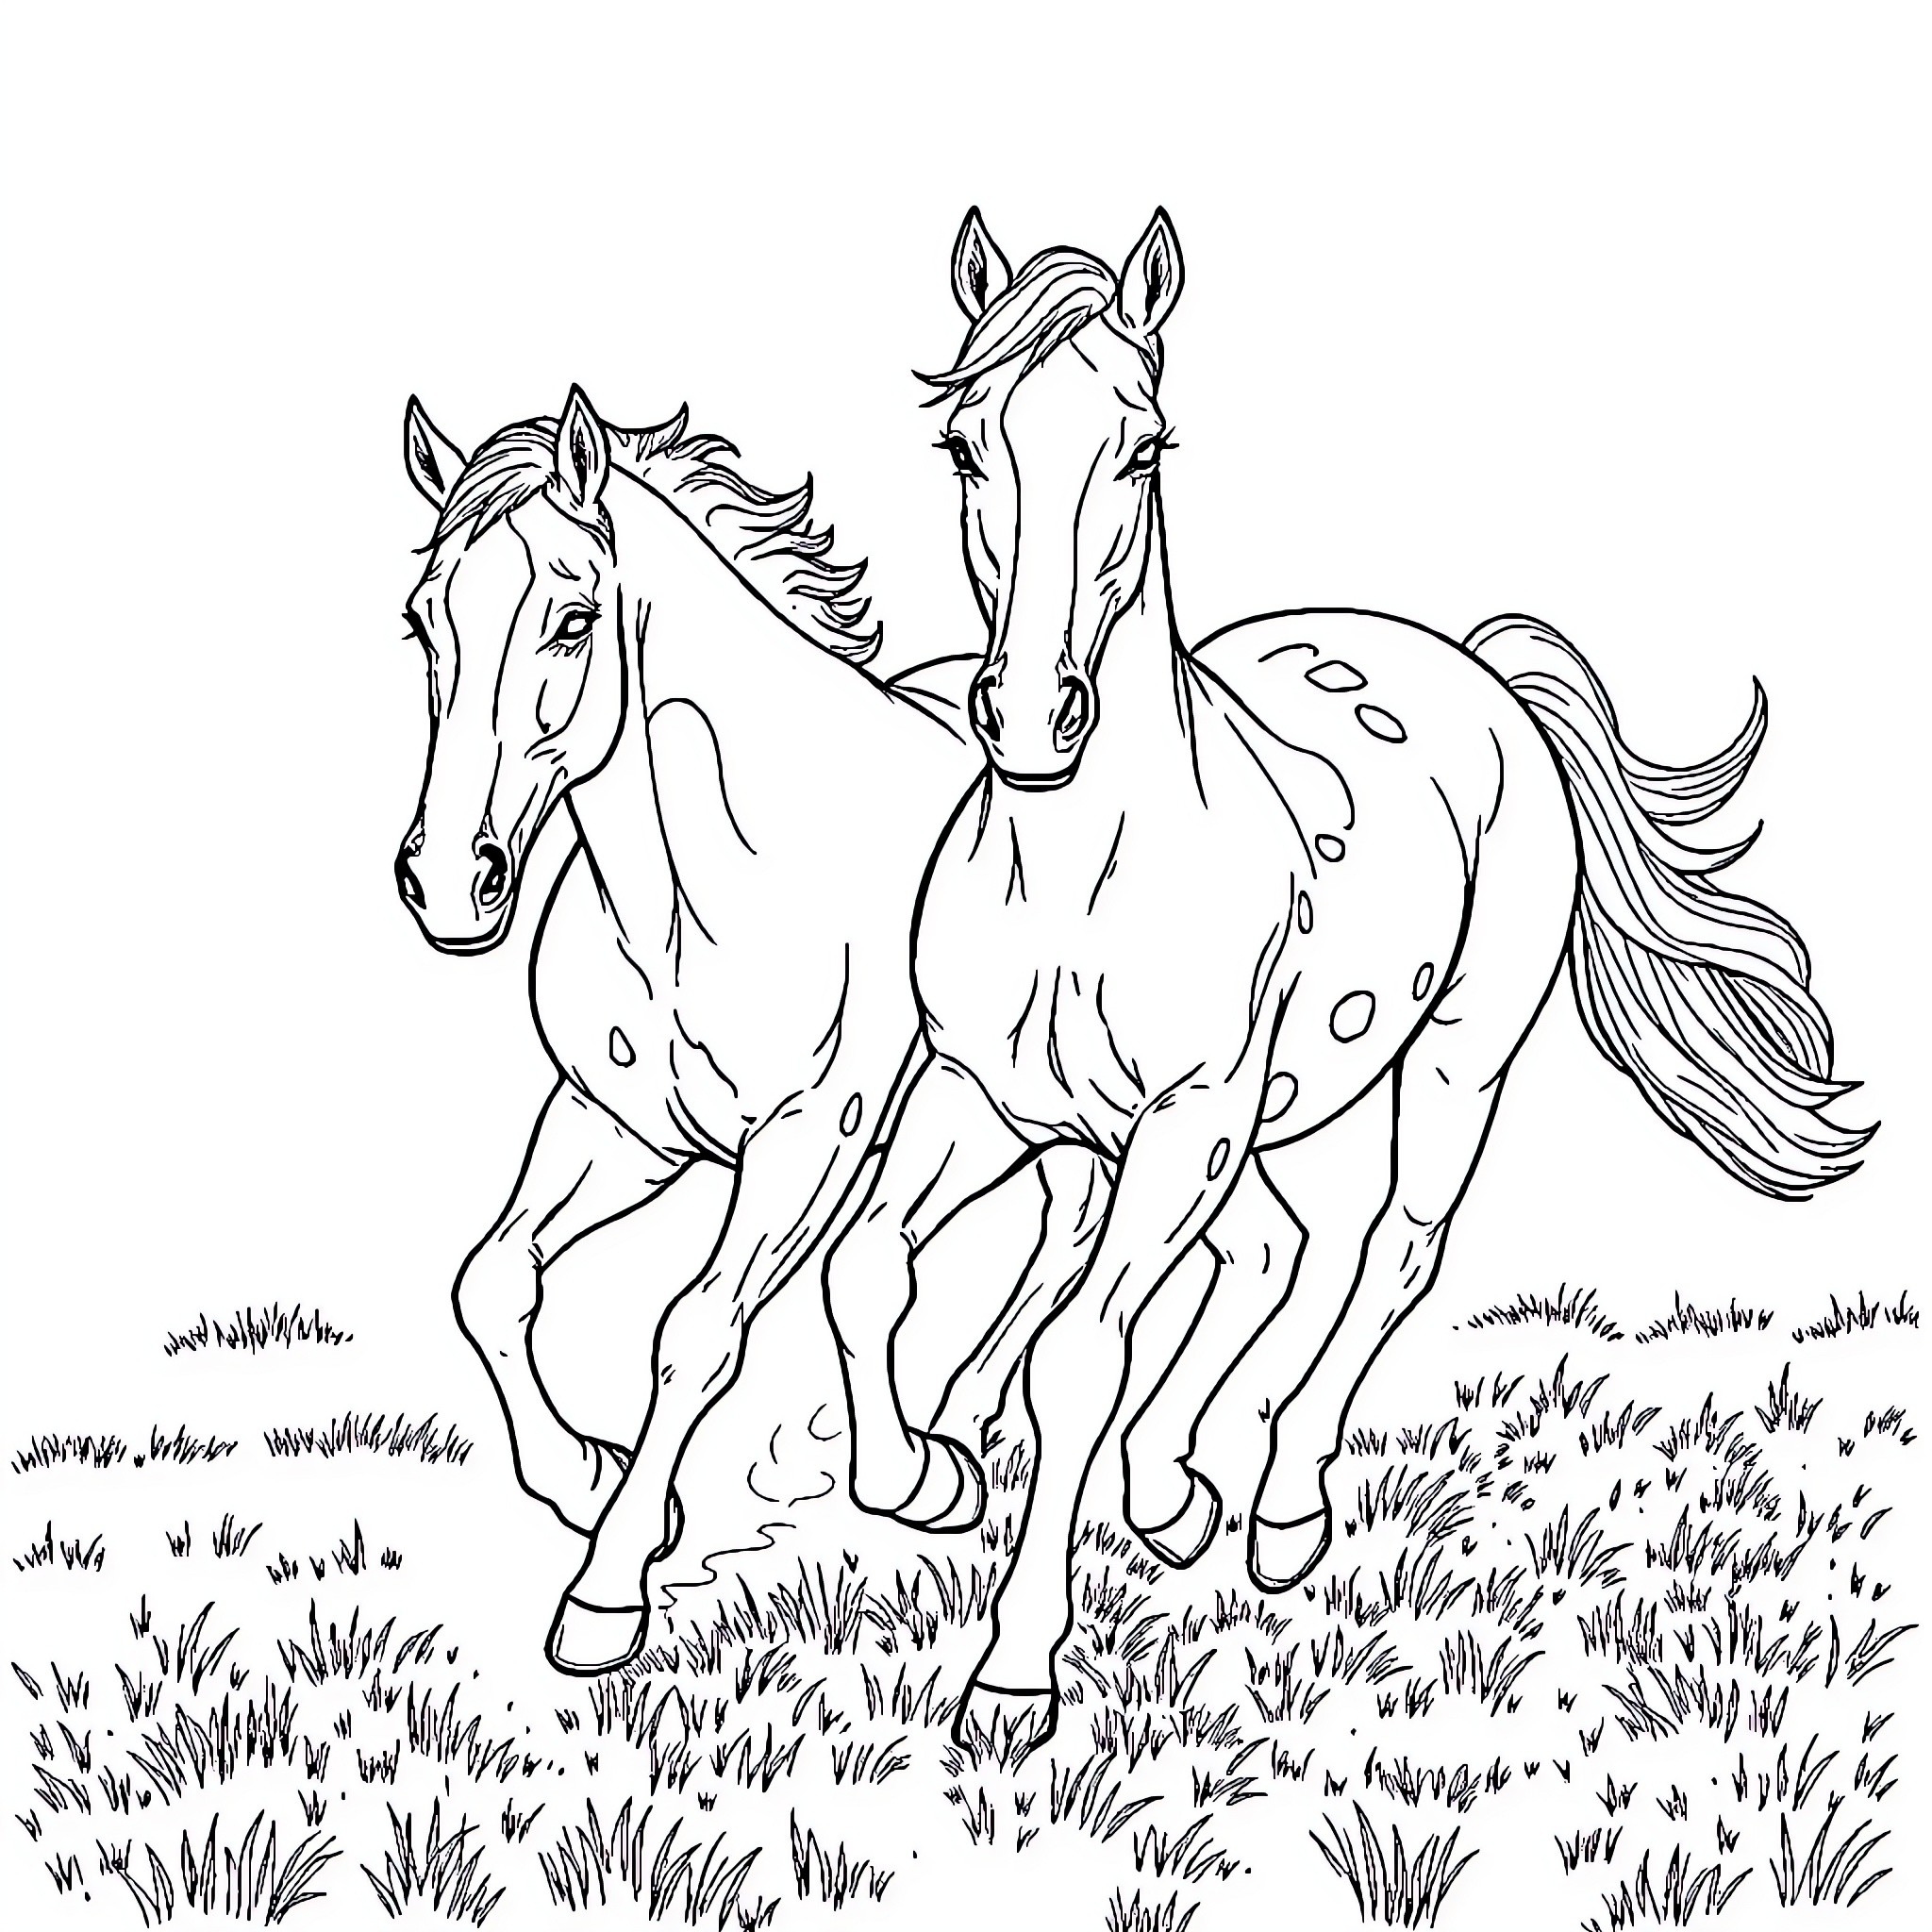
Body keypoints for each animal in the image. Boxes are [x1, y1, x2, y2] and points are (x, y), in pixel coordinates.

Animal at [392, 386, 1106, 1676]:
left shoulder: (806, 1140)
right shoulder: (618, 1124)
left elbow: (696, 1331)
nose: (448, 885)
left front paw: (607, 1587)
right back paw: (951, 1438)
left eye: (571, 619)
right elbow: (492, 1279)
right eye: (424, 622)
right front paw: (585, 1476)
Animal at [822, 209, 1870, 1751]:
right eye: (964, 443)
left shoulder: (1184, 1117)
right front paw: (925, 1476)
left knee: (1389, 1251)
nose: (1026, 717)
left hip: (1445, 1064)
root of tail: (1475, 670)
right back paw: (1177, 1495)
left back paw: (1282, 1511)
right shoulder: (985, 1092)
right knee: (1272, 1252)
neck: (1076, 870)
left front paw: (1014, 1677)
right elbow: (867, 1267)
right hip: (1281, 1104)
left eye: (1144, 447)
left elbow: (1075, 1353)